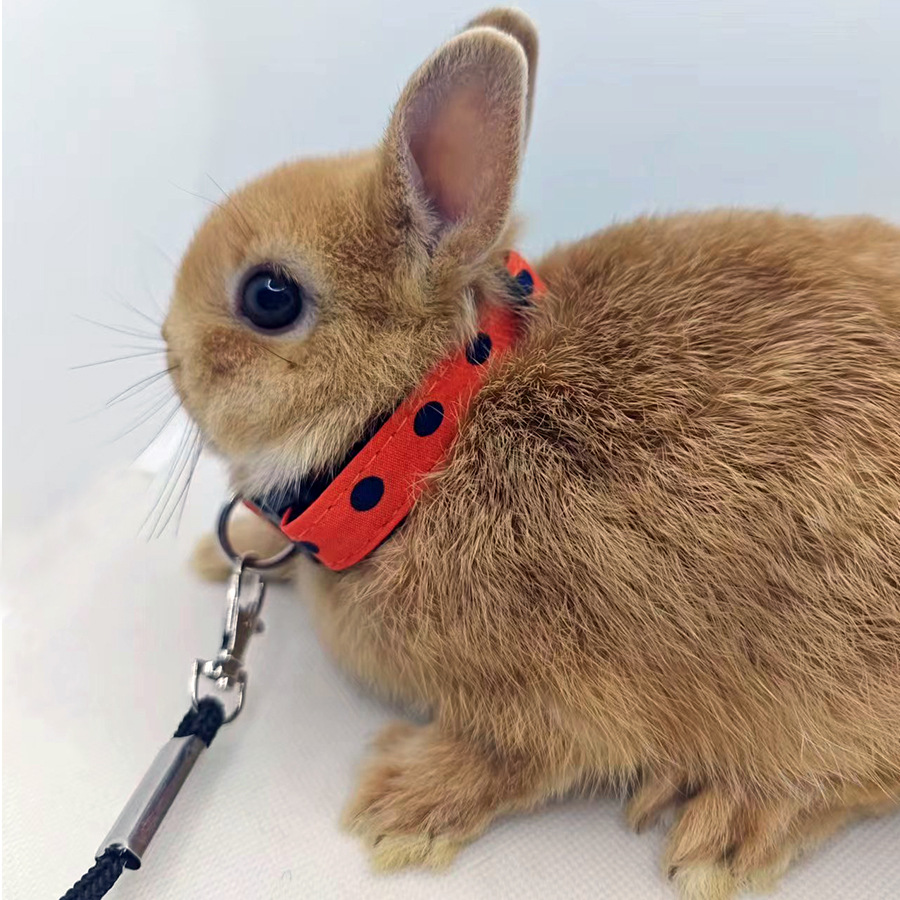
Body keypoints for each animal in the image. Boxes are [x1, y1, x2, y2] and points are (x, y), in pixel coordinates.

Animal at [168, 9, 900, 899]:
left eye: (268, 297)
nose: (169, 354)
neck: (424, 436)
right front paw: (225, 550)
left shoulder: (553, 700)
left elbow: (515, 760)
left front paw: (402, 804)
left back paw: (729, 827)